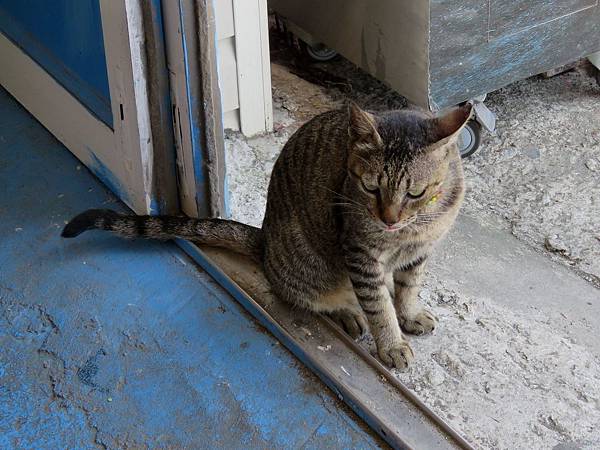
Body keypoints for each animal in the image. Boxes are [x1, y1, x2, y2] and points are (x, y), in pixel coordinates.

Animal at [62, 104, 474, 370]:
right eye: (370, 187)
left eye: (416, 193)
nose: (387, 219)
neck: (414, 228)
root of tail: (263, 240)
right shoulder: (360, 253)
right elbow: (377, 306)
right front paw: (391, 343)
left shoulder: (420, 251)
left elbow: (408, 287)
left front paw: (409, 313)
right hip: (313, 266)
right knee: (315, 295)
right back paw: (347, 310)